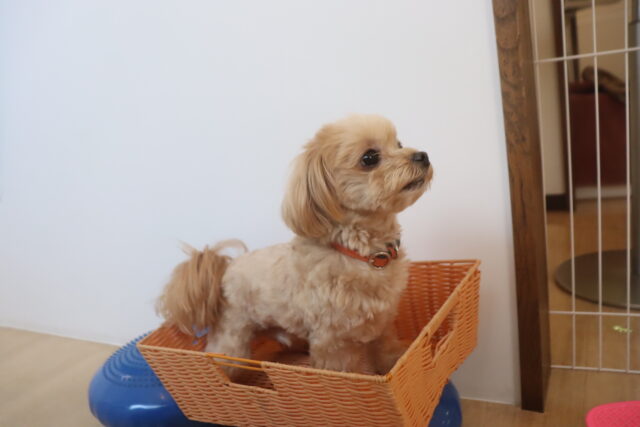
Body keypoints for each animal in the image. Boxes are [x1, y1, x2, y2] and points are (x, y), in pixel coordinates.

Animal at [157, 114, 432, 375]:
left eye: (399, 143)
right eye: (370, 158)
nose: (423, 156)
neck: (363, 255)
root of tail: (226, 268)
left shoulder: (383, 324)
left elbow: (388, 354)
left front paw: (396, 367)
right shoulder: (332, 343)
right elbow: (344, 373)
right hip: (232, 336)